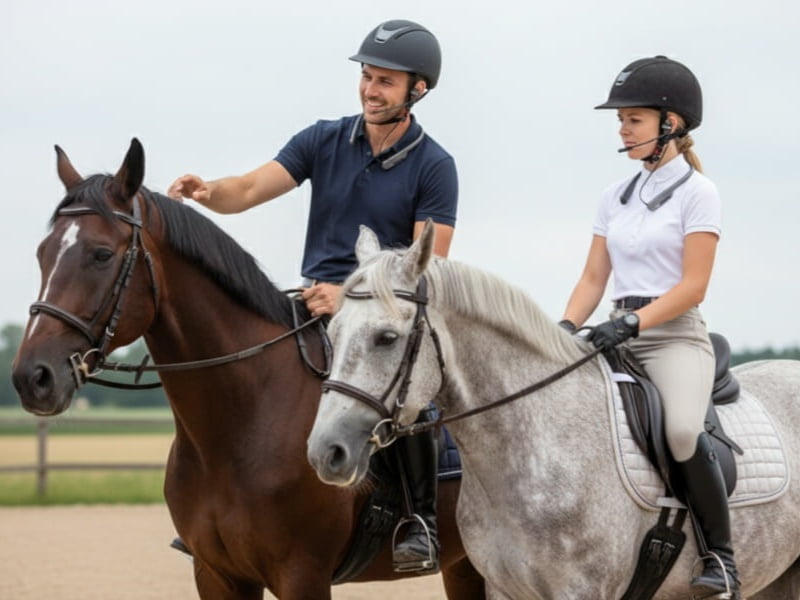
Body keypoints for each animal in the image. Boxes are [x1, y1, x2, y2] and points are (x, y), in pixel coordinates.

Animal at [10, 139, 486, 600]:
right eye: (42, 253)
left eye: (102, 254)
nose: (32, 377)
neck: (242, 423)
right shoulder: (217, 575)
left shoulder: (302, 575)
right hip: (465, 563)